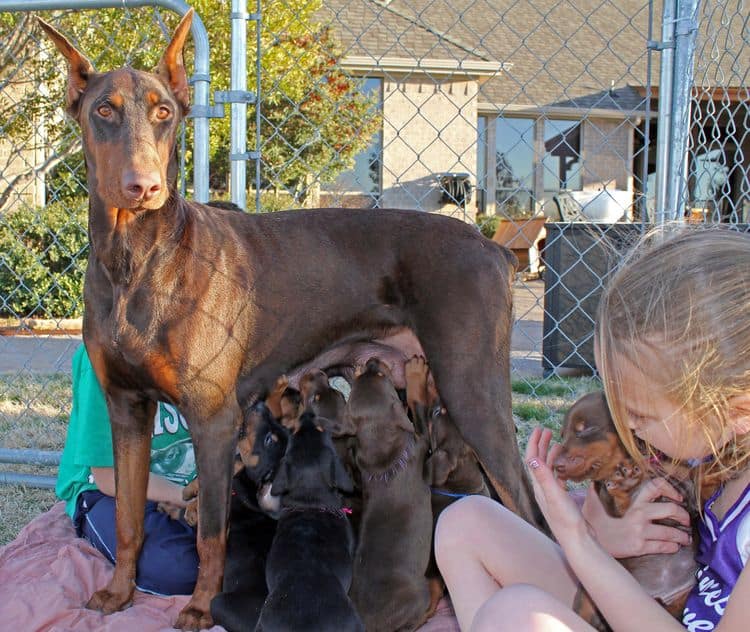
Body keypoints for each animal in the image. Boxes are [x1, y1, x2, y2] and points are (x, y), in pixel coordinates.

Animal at [348, 358, 432, 628]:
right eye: (382, 376)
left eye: (374, 372)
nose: (371, 360)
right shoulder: (421, 441)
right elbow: (417, 406)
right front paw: (416, 372)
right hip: (419, 593)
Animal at [556, 392, 704, 624]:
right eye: (562, 435)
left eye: (586, 429)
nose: (556, 465)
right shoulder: (608, 498)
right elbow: (617, 499)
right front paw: (625, 483)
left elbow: (692, 480)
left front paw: (688, 488)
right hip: (588, 596)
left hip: (680, 601)